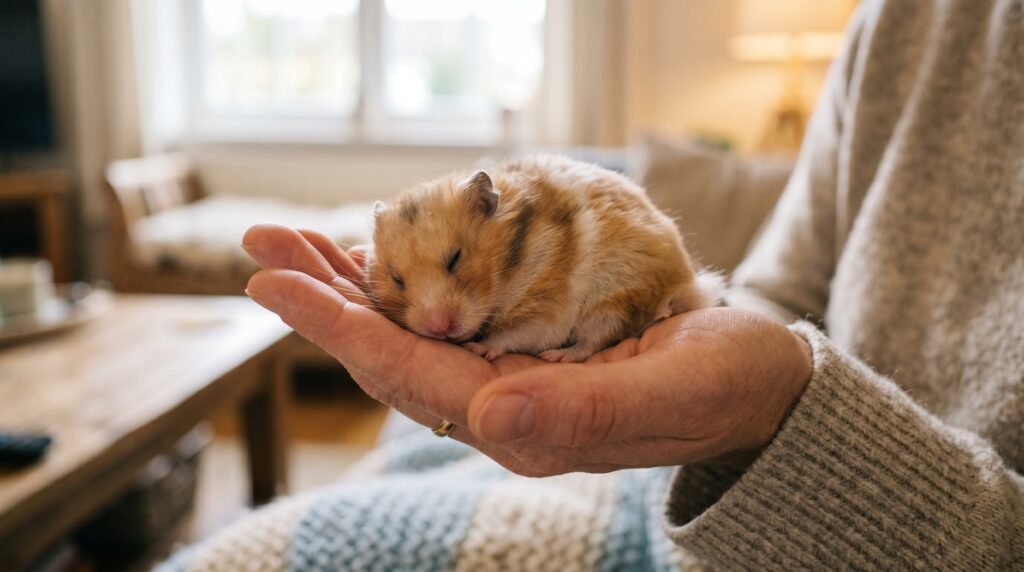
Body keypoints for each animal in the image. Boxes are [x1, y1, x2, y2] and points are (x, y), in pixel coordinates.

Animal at [367, 154, 722, 363]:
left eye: (455, 258)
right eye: (396, 279)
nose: (440, 328)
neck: (507, 270)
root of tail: (686, 285)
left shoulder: (548, 310)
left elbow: (513, 336)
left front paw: (478, 348)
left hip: (613, 300)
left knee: (594, 340)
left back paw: (557, 357)